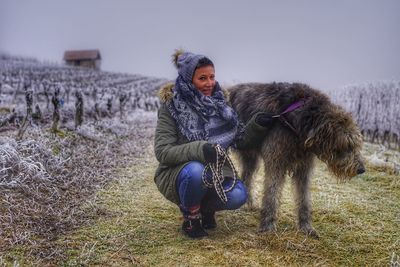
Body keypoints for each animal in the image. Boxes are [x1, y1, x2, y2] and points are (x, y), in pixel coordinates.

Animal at [228, 82, 366, 238]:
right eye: (346, 145)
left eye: (356, 144)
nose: (361, 169)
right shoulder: (276, 162)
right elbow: (271, 194)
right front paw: (267, 226)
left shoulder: (304, 168)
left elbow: (304, 198)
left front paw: (306, 227)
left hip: (250, 155)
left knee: (247, 177)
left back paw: (248, 204)